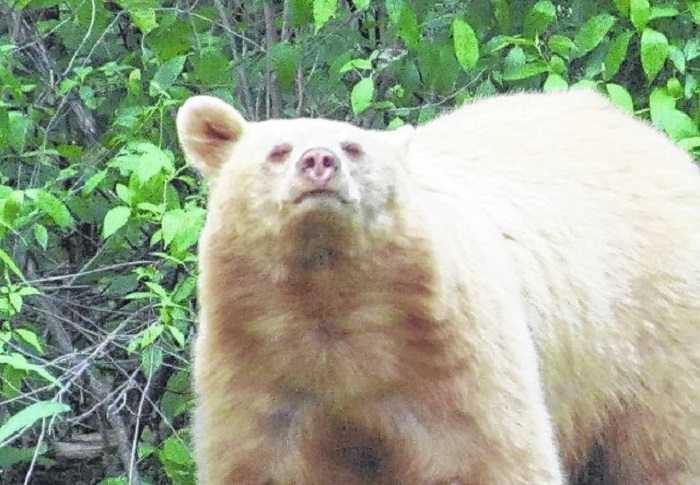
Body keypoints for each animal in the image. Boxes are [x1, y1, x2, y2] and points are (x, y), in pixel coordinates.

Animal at [176, 90, 700, 485]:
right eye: (278, 150)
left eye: (352, 147)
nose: (319, 161)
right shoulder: (258, 366)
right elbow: (258, 460)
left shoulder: (454, 359)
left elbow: (496, 457)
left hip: (655, 333)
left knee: (667, 450)